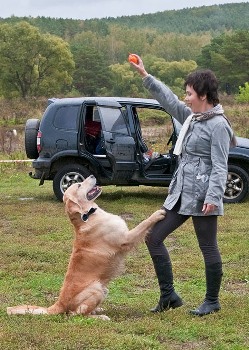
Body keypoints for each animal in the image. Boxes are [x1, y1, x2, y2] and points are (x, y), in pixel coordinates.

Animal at [7, 175, 165, 320]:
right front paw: (158, 213)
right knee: (76, 314)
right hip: (96, 288)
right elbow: (144, 223)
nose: (92, 175)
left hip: (104, 289)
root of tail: (58, 304)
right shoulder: (126, 239)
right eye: (78, 184)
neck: (88, 216)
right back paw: (100, 317)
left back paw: (98, 309)